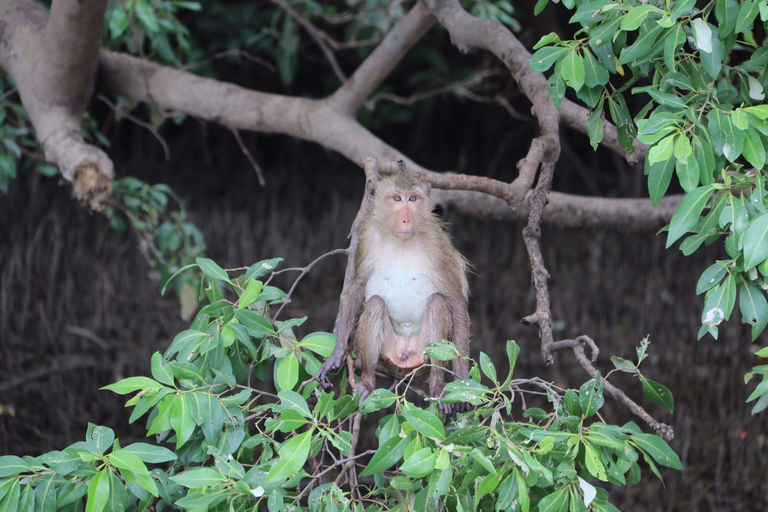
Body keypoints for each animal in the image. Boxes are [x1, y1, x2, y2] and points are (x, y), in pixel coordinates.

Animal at [316, 172, 472, 416]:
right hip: (388, 352)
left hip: (423, 356)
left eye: (413, 199)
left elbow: (455, 299)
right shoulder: (367, 236)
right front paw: (337, 354)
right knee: (375, 304)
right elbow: (359, 285)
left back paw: (437, 385)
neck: (401, 240)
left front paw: (462, 380)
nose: (406, 220)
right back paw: (367, 382)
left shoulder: (437, 245)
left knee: (438, 303)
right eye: (397, 198)